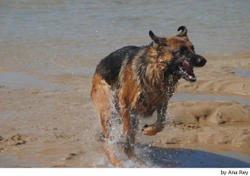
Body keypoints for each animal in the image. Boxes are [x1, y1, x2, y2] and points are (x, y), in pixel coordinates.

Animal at [91, 25, 206, 166]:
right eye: (181, 51)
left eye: (193, 48)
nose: (203, 60)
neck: (157, 71)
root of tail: (99, 65)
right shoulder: (125, 101)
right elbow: (126, 127)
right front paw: (125, 131)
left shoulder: (162, 103)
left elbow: (161, 123)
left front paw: (149, 130)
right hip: (107, 110)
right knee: (109, 144)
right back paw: (117, 162)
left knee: (128, 148)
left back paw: (138, 163)